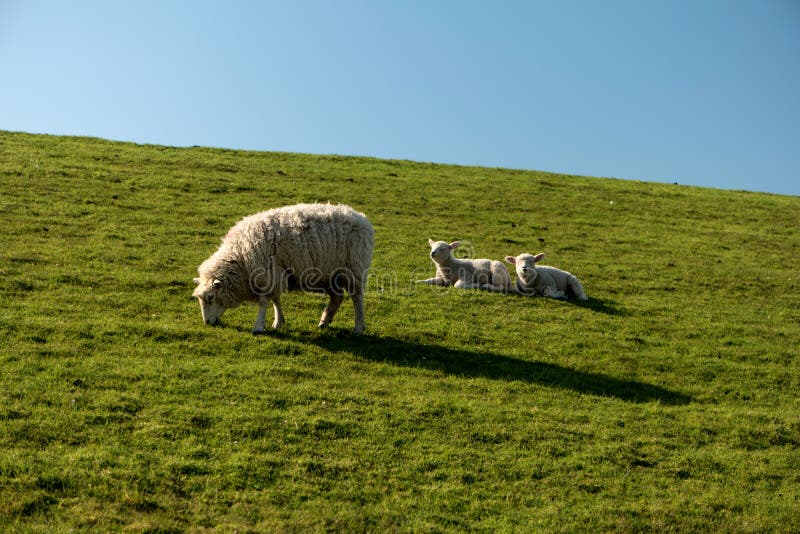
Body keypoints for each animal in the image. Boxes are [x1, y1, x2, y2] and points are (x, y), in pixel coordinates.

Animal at [193, 203, 375, 334]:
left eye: (210, 297)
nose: (207, 323)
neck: (241, 258)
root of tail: (362, 218)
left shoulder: (268, 274)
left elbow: (264, 302)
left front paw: (258, 326)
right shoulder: (276, 274)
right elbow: (276, 299)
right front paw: (278, 322)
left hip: (354, 269)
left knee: (357, 298)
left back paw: (358, 327)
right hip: (330, 274)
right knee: (337, 297)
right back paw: (324, 322)